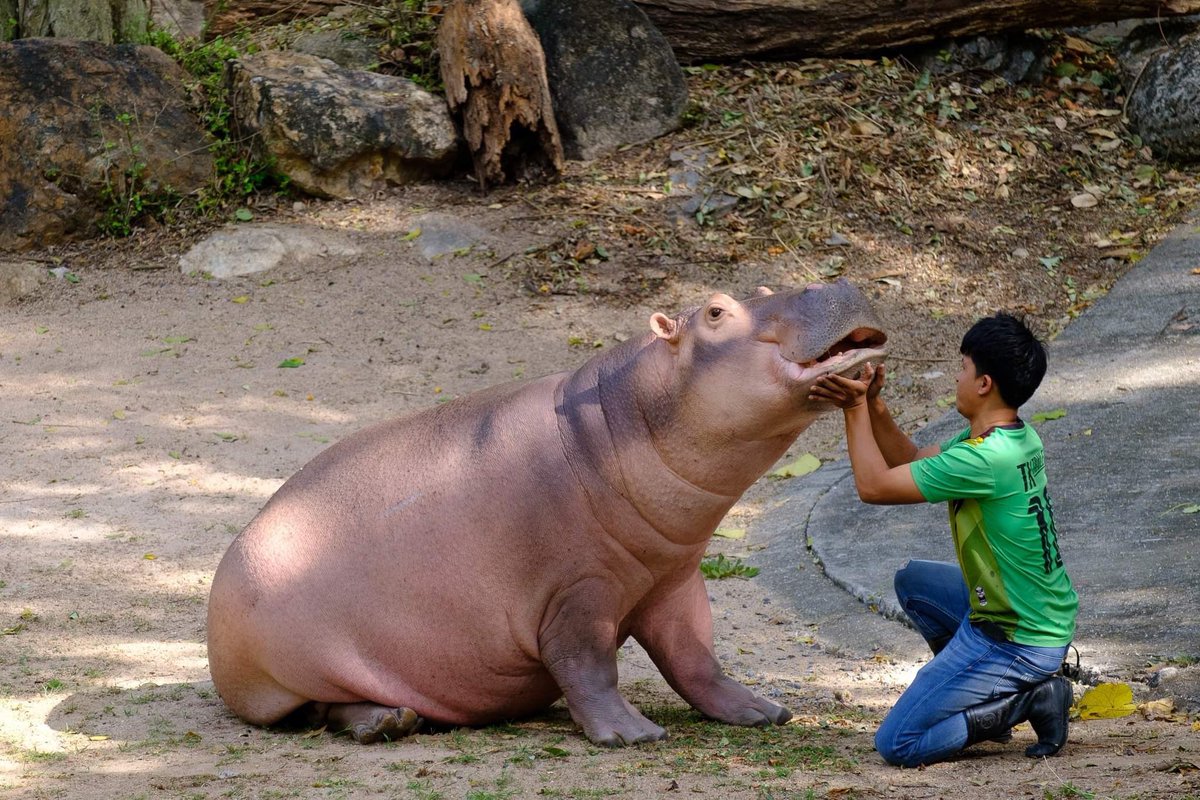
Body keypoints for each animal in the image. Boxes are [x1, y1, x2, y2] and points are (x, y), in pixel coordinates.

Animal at [206, 279, 887, 746]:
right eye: (717, 311)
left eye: (767, 289)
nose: (835, 282)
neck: (616, 418)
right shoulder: (578, 589)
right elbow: (588, 664)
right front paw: (632, 735)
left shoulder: (671, 579)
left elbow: (696, 659)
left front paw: (762, 711)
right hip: (293, 674)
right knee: (317, 708)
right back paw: (385, 723)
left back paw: (393, 720)